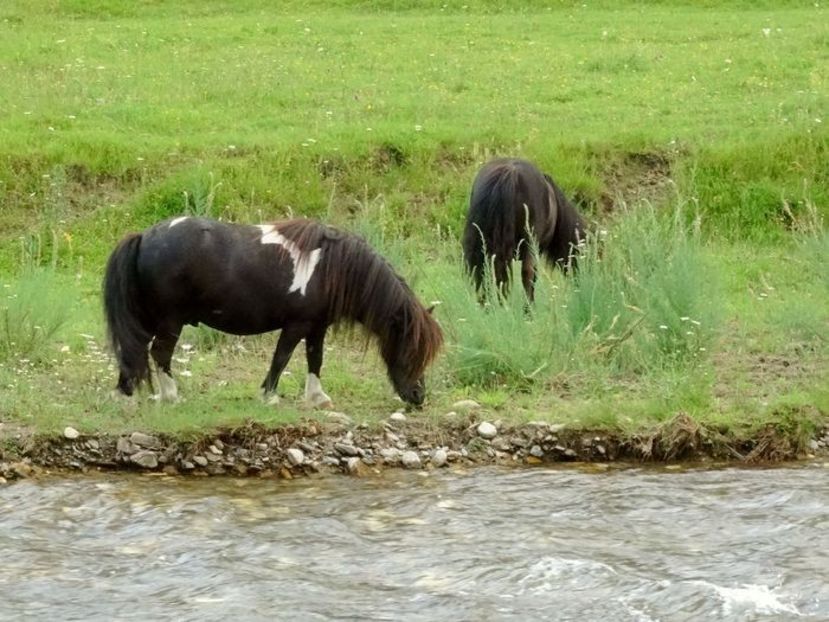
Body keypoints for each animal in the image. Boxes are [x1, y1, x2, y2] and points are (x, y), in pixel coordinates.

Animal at [103, 218, 444, 410]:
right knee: (160, 353)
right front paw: (269, 396)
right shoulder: (296, 325)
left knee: (134, 351)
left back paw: (125, 394)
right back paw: (171, 397)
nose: (418, 397)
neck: (332, 267)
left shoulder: (317, 326)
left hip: (150, 318)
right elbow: (281, 358)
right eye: (411, 350)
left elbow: (315, 359)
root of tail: (144, 236)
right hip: (170, 320)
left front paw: (317, 397)